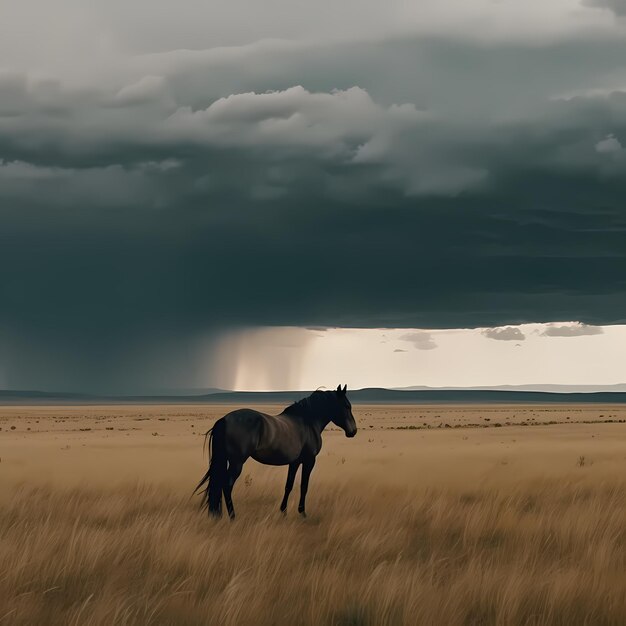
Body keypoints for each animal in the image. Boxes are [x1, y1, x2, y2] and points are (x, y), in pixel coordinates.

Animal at [194, 382, 356, 520]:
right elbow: (304, 486)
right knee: (226, 485)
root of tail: (224, 420)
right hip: (237, 463)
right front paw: (302, 513)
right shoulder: (309, 461)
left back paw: (217, 515)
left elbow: (289, 485)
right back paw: (233, 517)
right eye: (346, 406)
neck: (308, 422)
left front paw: (283, 511)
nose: (353, 431)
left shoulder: (295, 462)